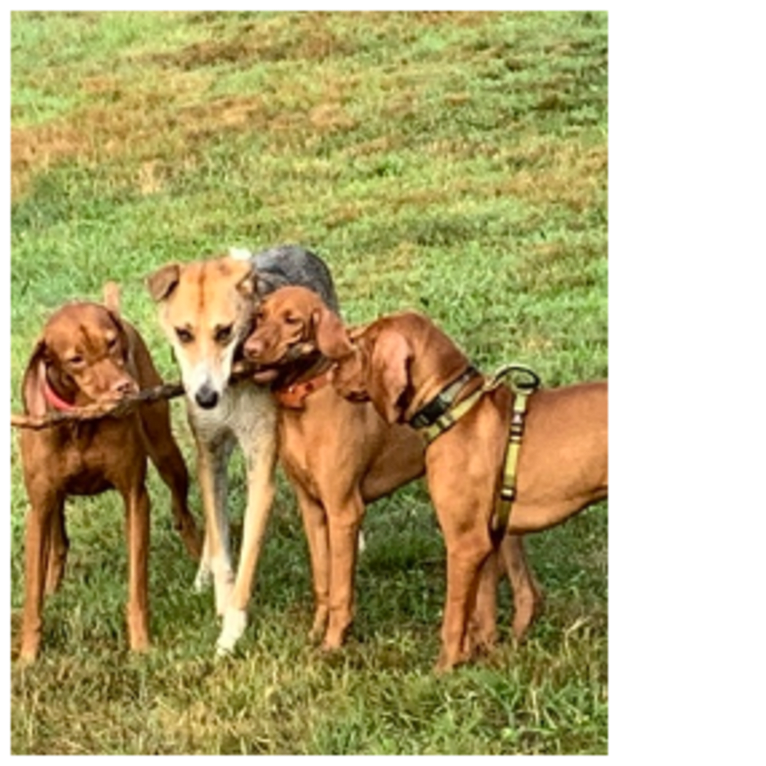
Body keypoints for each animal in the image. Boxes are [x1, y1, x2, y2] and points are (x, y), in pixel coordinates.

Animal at [16, 284, 202, 664]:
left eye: (112, 342)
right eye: (75, 359)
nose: (125, 388)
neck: (80, 421)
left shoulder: (135, 496)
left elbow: (137, 585)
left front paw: (141, 645)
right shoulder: (38, 506)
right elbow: (31, 596)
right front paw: (27, 656)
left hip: (166, 452)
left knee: (183, 512)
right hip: (53, 501)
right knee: (59, 541)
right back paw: (54, 588)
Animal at [148, 246, 340, 656]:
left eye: (225, 332)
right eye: (183, 333)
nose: (206, 398)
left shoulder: (261, 465)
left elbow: (247, 559)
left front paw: (231, 632)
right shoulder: (209, 457)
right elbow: (223, 551)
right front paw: (219, 601)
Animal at [243, 284, 544, 656]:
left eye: (292, 320)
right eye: (260, 315)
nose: (249, 349)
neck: (307, 401)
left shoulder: (344, 511)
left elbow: (341, 590)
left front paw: (333, 643)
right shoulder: (312, 509)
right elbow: (323, 581)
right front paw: (315, 633)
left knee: (524, 587)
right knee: (528, 585)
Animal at [328, 308, 608, 676]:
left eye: (357, 344)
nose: (330, 373)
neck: (454, 407)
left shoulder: (464, 544)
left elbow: (453, 618)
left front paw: (443, 670)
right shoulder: (486, 540)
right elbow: (482, 612)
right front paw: (483, 658)